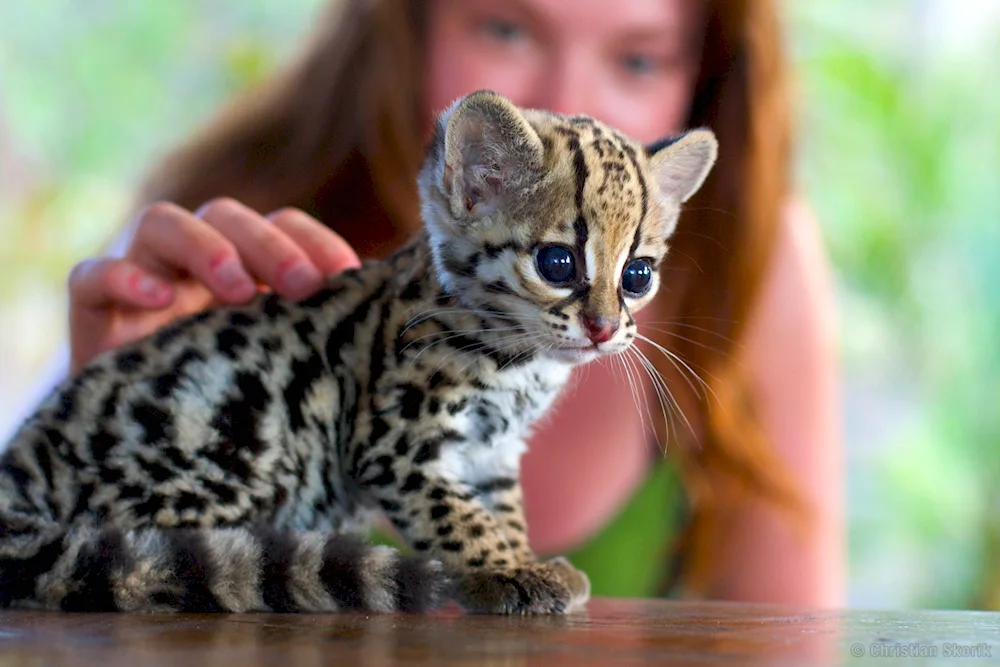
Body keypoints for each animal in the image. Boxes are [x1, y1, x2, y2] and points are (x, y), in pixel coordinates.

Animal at [0, 92, 720, 616]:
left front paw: (520, 557)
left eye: (638, 275)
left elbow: (501, 507)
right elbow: (457, 515)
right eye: (558, 262)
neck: (522, 364)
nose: (604, 328)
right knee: (143, 551)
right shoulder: (396, 443)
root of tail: (20, 471)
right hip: (236, 442)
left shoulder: (492, 452)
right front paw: (503, 569)